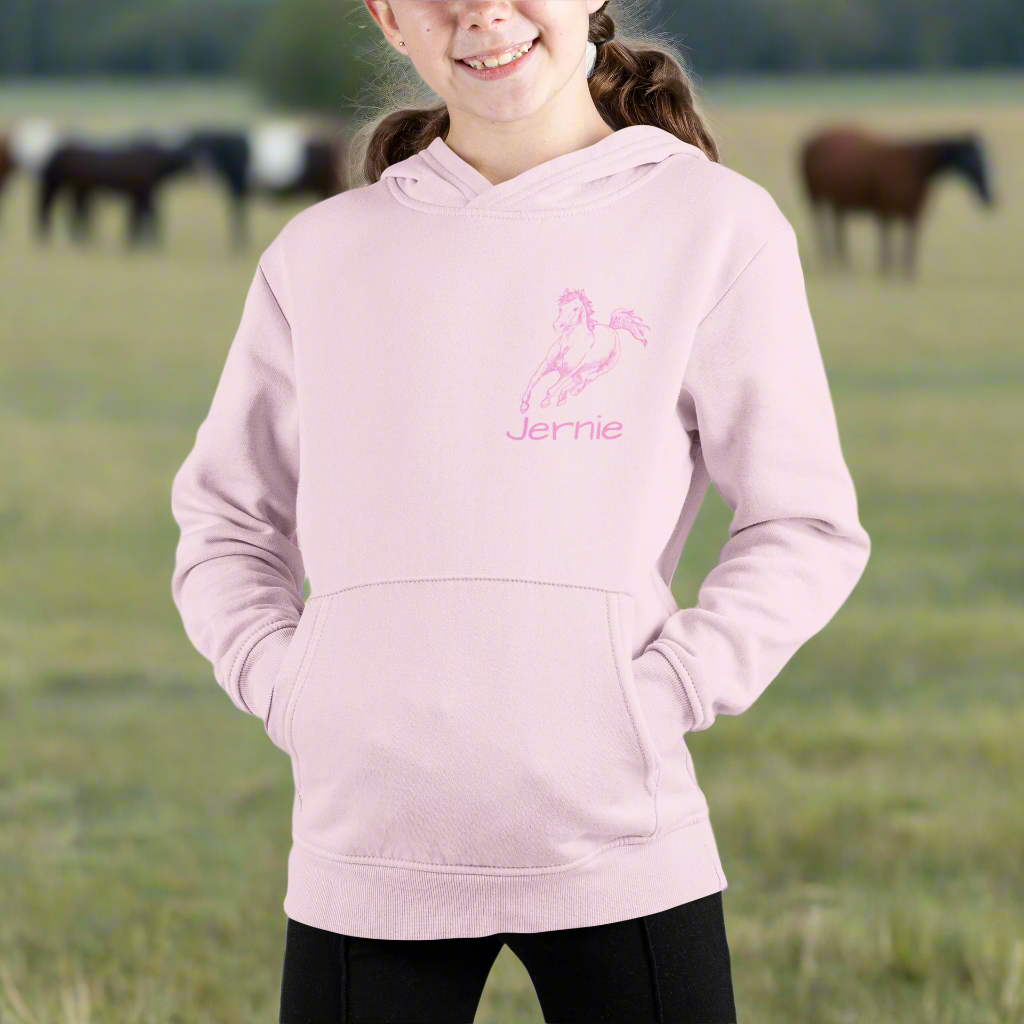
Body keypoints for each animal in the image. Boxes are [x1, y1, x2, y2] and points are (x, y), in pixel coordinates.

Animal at [36, 131, 197, 247]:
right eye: (186, 154)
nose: (194, 163)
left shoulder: (141, 195)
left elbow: (140, 217)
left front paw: (139, 243)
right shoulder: (143, 194)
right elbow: (146, 216)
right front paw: (142, 243)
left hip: (76, 190)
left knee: (71, 212)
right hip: (71, 189)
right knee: (68, 211)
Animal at [519, 288, 650, 413]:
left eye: (575, 308)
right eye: (561, 308)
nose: (558, 325)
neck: (568, 346)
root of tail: (612, 329)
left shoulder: (568, 373)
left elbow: (551, 390)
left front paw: (544, 402)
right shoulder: (547, 364)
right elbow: (533, 380)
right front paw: (524, 405)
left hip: (606, 366)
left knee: (589, 378)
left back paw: (573, 392)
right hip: (578, 371)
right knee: (578, 380)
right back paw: (562, 397)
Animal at [800, 126, 993, 277]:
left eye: (986, 159)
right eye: (973, 159)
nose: (989, 196)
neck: (917, 167)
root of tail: (809, 142)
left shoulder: (913, 213)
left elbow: (910, 242)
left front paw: (907, 273)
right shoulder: (885, 209)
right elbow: (887, 238)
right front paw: (885, 270)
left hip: (837, 201)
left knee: (837, 226)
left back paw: (842, 260)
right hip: (814, 195)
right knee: (819, 223)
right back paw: (829, 258)